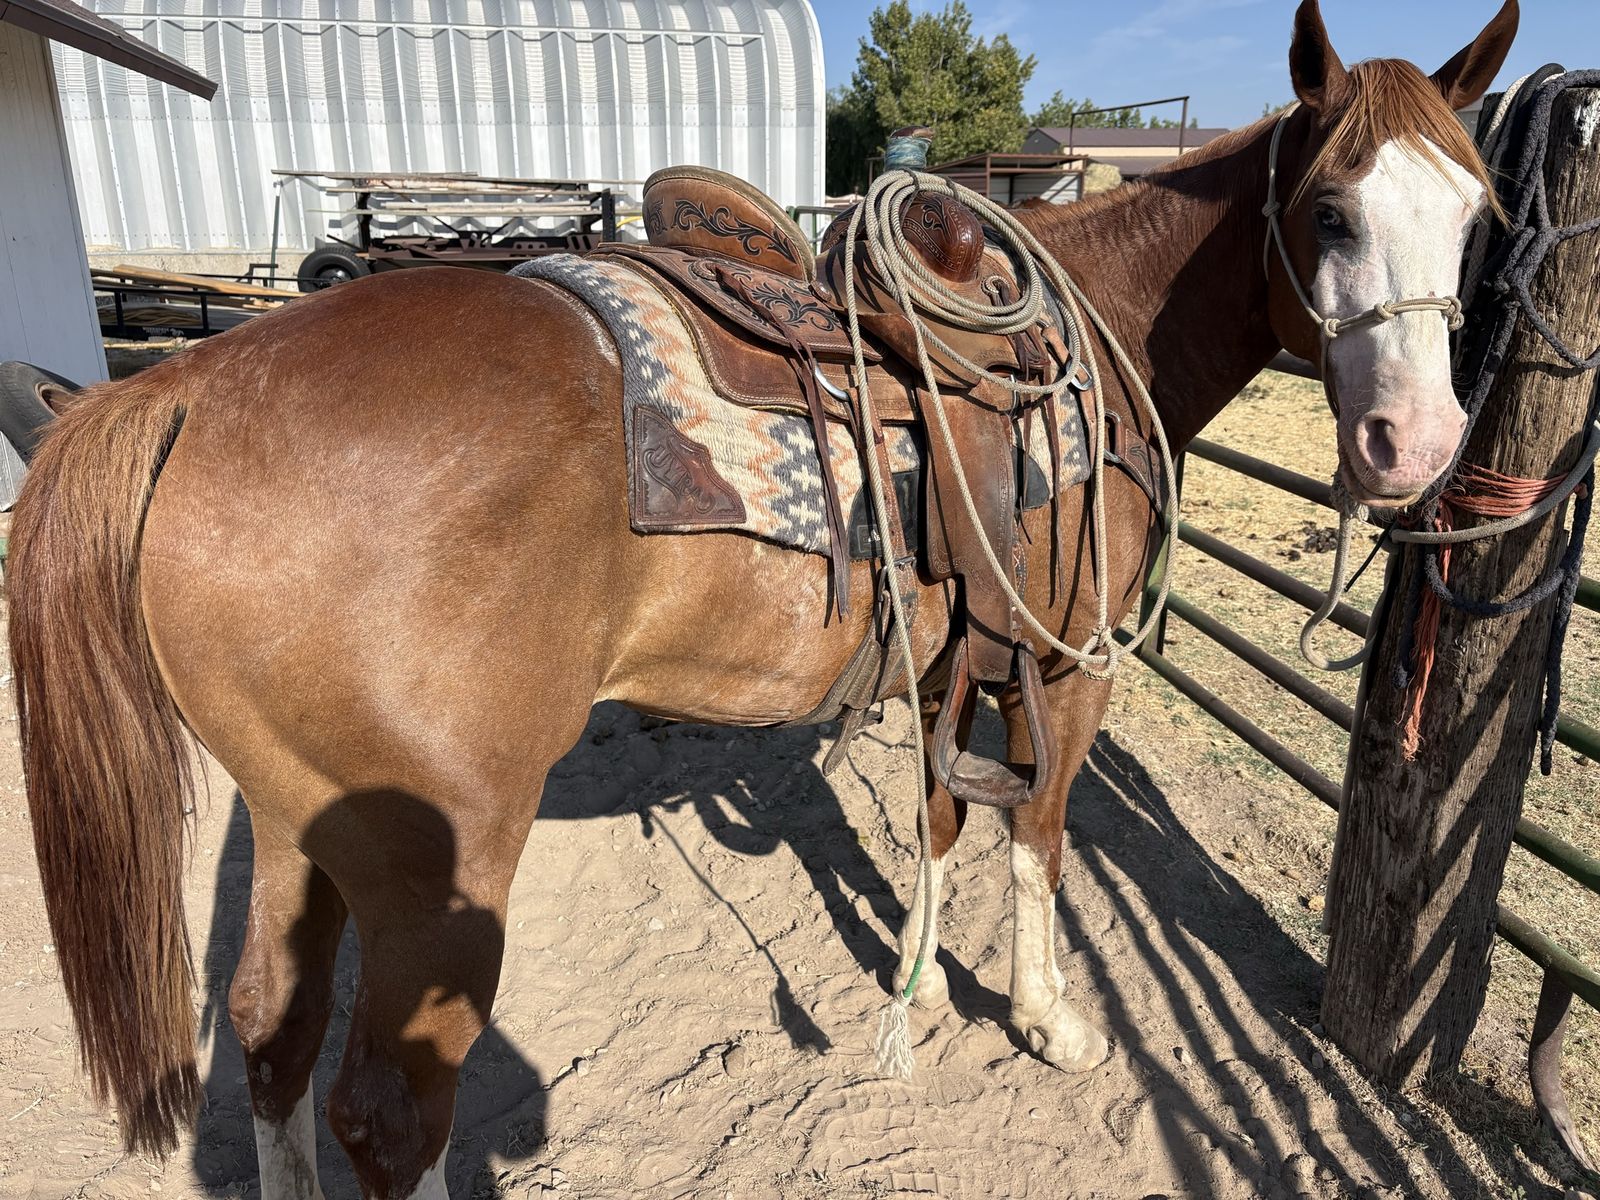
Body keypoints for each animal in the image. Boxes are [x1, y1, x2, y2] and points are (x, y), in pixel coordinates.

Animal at [6, 2, 1517, 1196]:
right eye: (1329, 211)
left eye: (1477, 221)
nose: (1417, 447)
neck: (1095, 332)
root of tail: (185, 387)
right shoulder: (1063, 663)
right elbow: (1037, 836)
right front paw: (1046, 1018)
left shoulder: (955, 661)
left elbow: (943, 822)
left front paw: (916, 997)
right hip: (436, 862)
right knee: (390, 1114)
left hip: (294, 821)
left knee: (269, 1038)